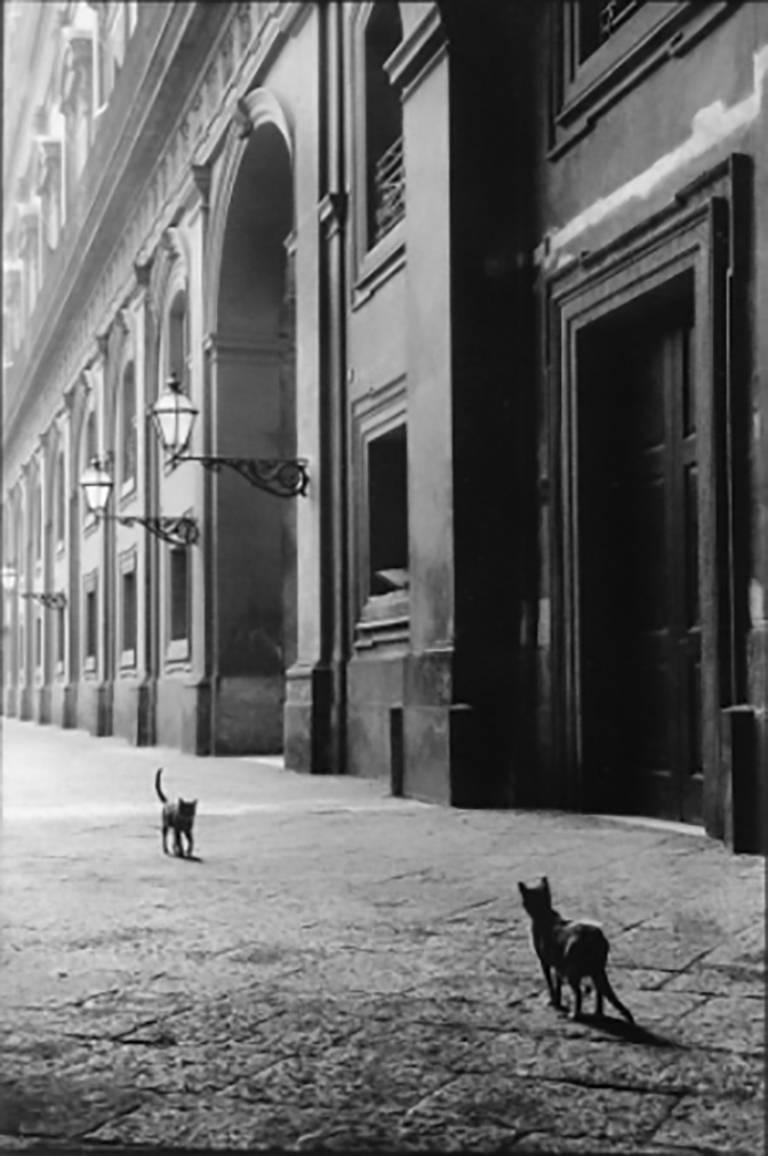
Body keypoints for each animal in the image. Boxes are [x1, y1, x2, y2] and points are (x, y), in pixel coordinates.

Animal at [515, 873, 633, 1021]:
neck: (544, 914)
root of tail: (596, 938)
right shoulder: (558, 964)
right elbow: (558, 984)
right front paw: (557, 1001)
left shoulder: (545, 962)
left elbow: (550, 984)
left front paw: (553, 1001)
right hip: (594, 971)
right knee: (599, 992)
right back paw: (598, 1013)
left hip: (572, 970)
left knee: (579, 993)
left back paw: (575, 1014)